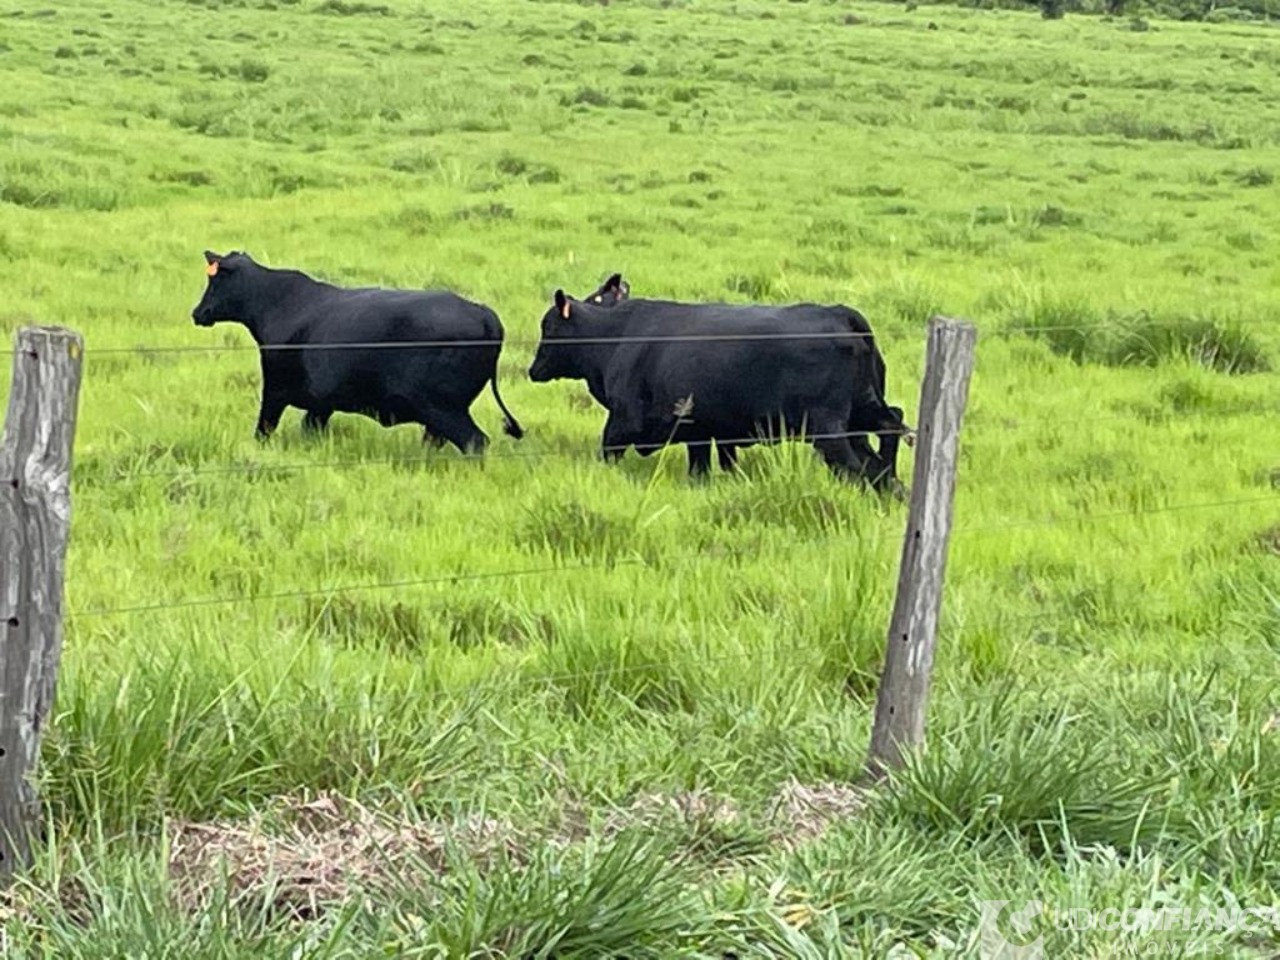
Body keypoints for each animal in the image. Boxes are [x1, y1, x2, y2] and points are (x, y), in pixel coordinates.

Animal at [192, 252, 522, 455]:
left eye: (216, 280)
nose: (198, 312)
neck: (280, 304)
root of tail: (481, 312)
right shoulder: (321, 404)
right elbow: (310, 430)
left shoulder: (275, 390)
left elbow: (263, 429)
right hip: (440, 413)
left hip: (443, 408)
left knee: (474, 442)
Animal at [527, 276, 911, 488]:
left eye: (549, 326)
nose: (533, 369)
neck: (614, 337)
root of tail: (840, 313)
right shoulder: (701, 429)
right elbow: (702, 467)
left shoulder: (625, 419)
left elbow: (608, 451)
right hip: (862, 413)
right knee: (888, 435)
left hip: (828, 428)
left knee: (857, 466)